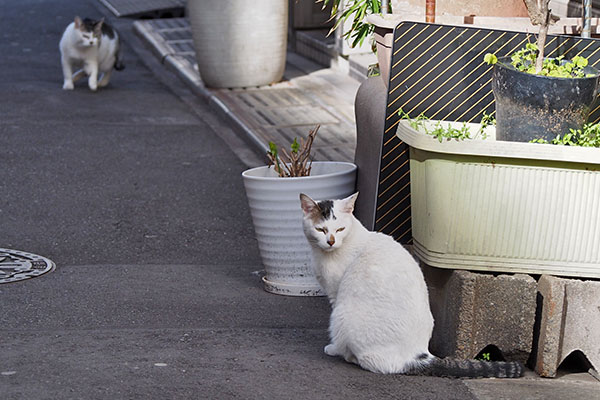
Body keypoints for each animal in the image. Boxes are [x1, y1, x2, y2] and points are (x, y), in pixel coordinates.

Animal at [298, 194, 524, 378]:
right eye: (321, 229)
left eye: (340, 229)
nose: (331, 241)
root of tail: (417, 354)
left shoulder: (335, 294)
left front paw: (333, 348)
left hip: (342, 315)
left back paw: (347, 355)